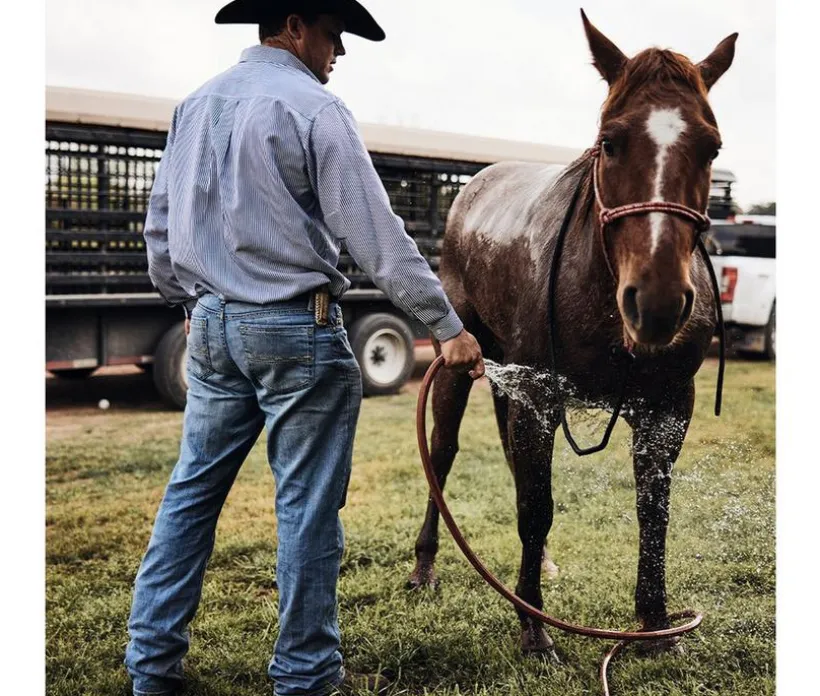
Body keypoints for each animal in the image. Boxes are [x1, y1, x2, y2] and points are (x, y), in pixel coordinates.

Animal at [408, 10, 737, 657]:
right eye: (610, 141)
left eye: (711, 146)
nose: (657, 301)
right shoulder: (538, 396)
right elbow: (536, 507)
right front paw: (535, 628)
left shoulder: (668, 406)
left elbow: (652, 509)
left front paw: (655, 625)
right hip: (461, 366)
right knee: (445, 451)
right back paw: (425, 565)